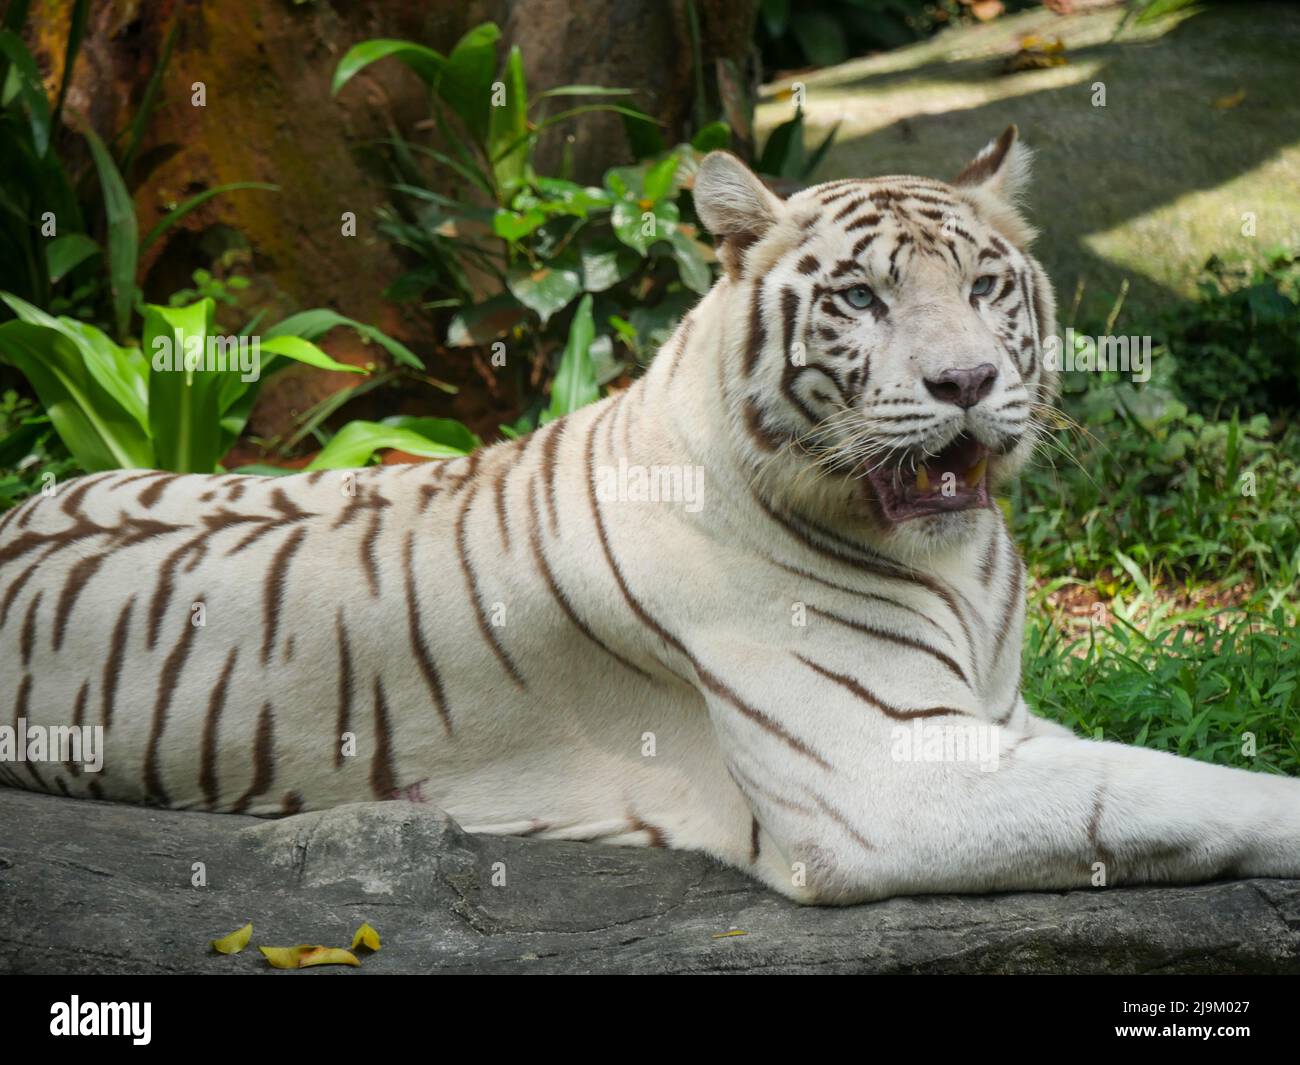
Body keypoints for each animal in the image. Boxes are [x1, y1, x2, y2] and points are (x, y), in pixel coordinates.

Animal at [2, 129, 1300, 905]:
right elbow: (1170, 792)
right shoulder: (886, 774)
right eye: (860, 298)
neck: (961, 568)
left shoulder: (1004, 717)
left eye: (985, 286)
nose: (968, 382)